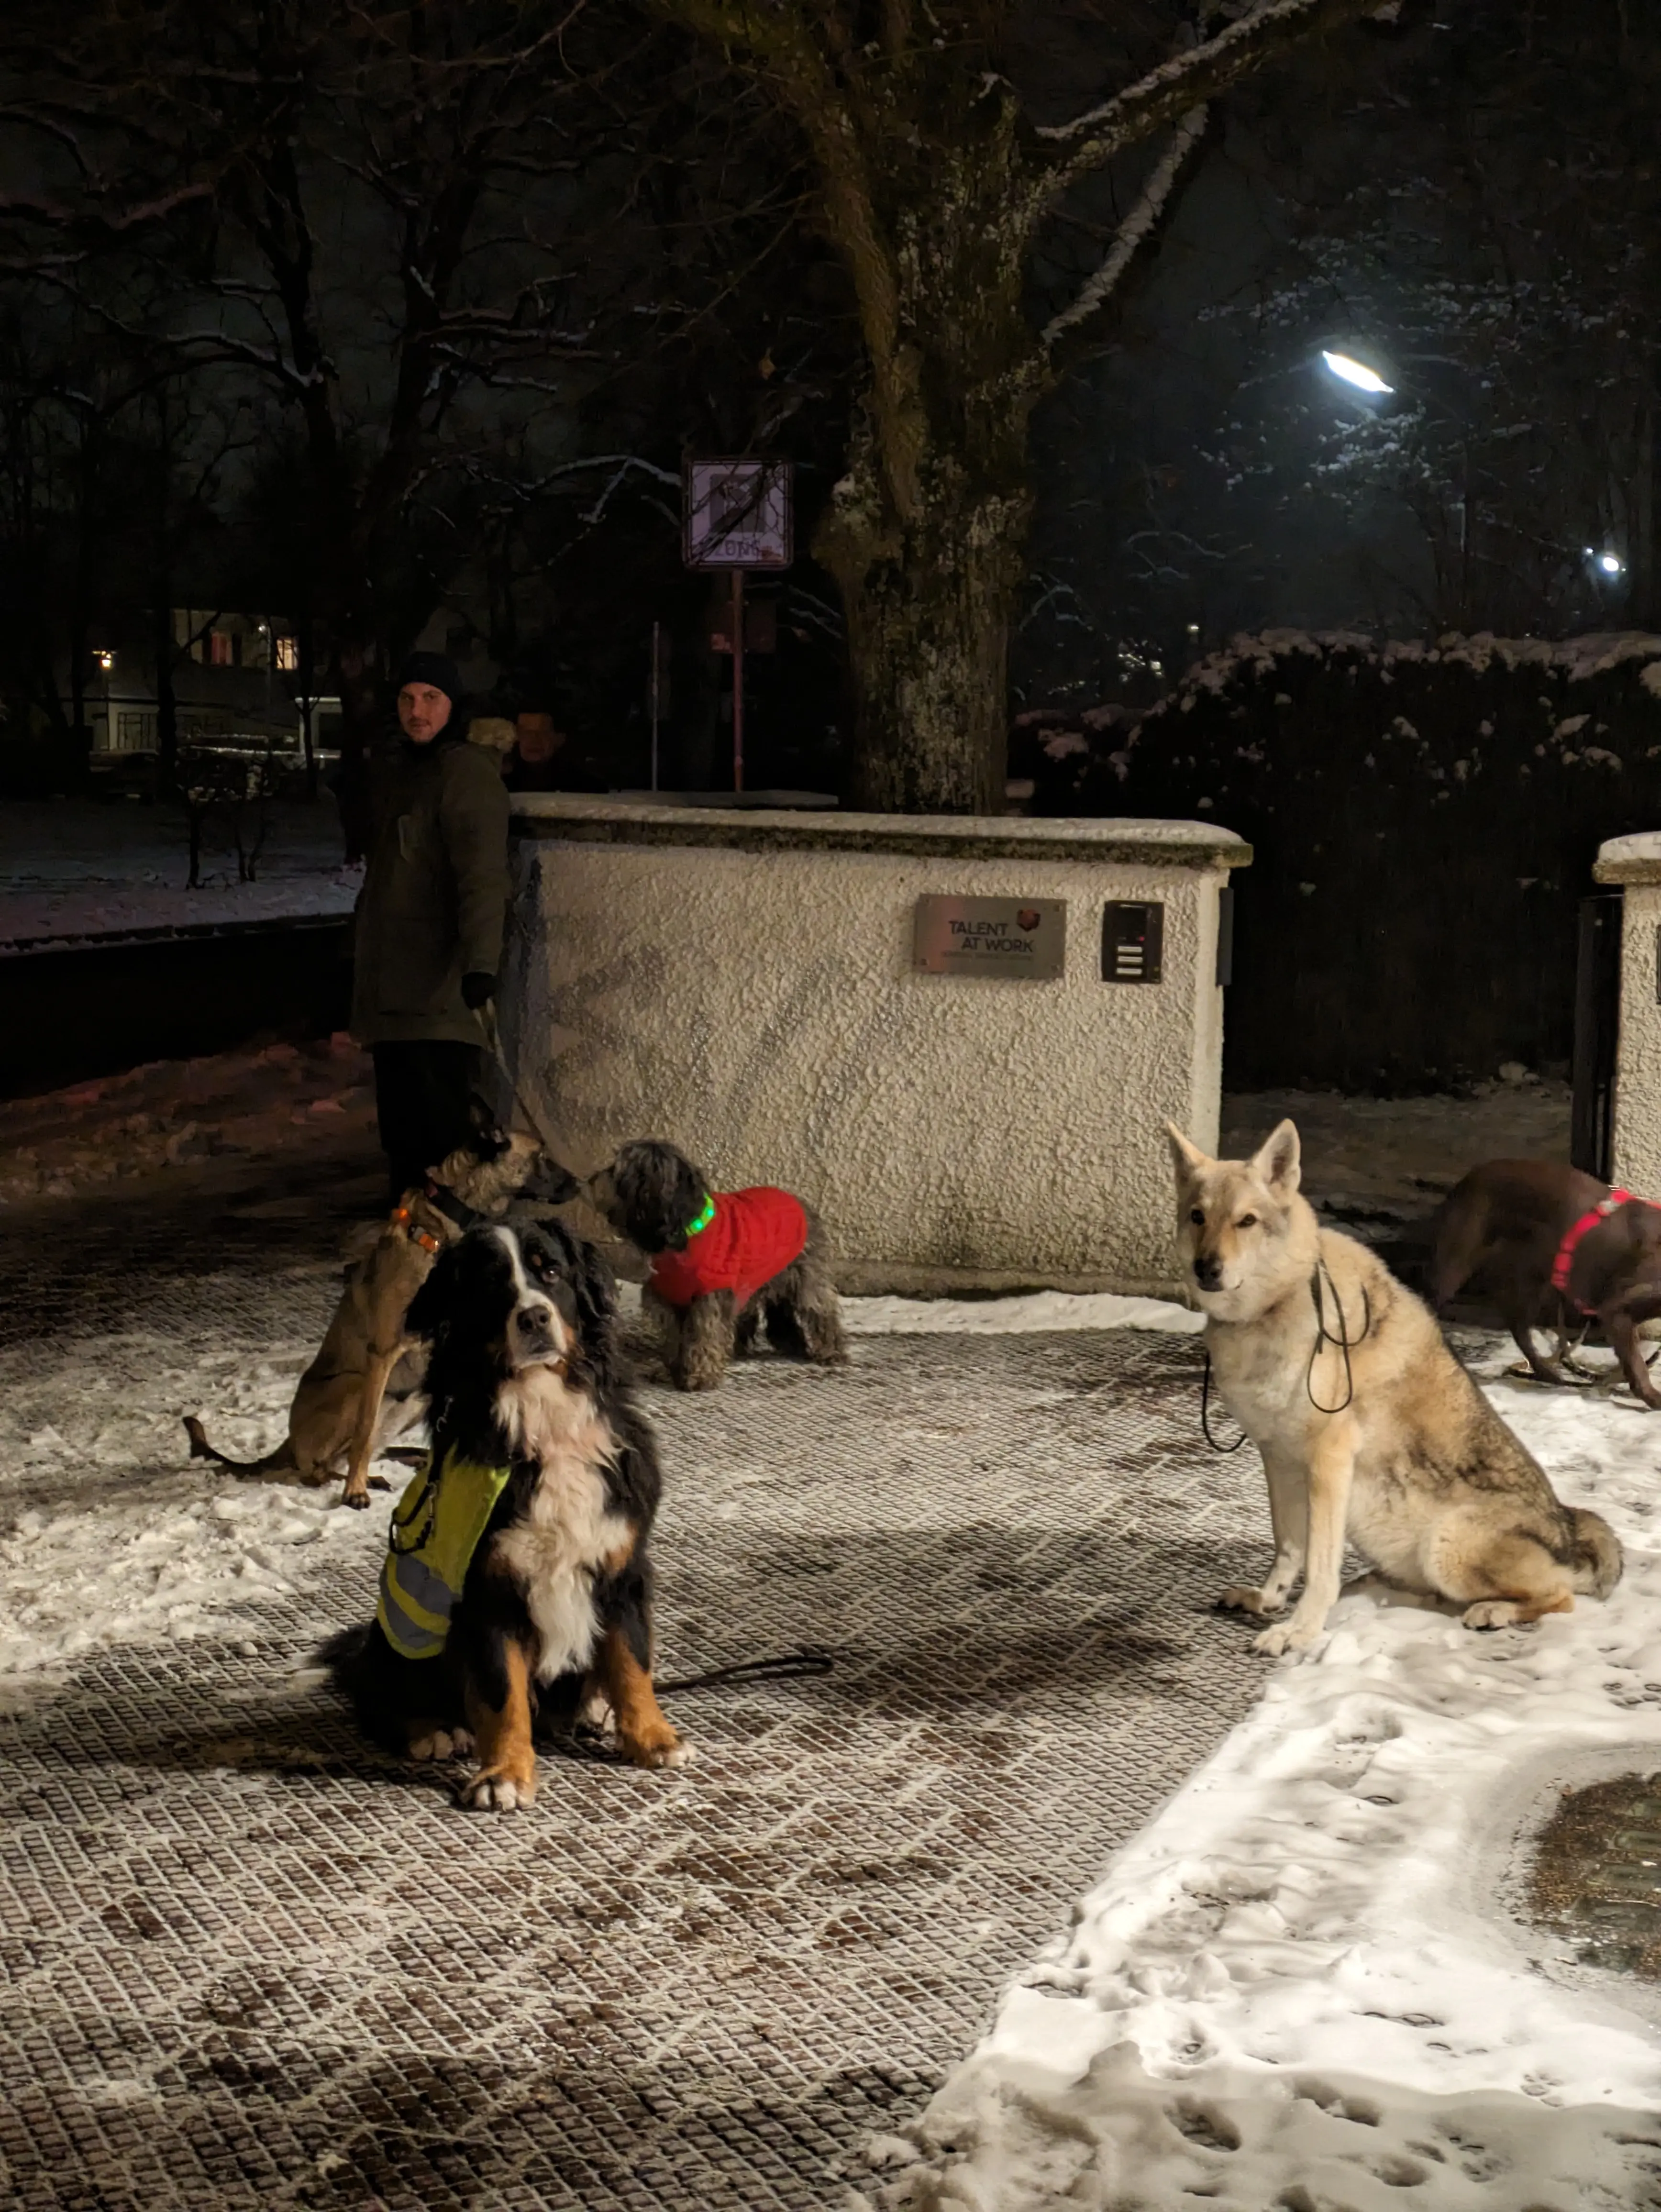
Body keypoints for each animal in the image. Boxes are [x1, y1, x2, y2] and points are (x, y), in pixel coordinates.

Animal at [189, 1101, 570, 1504]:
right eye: (541, 1155)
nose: (579, 1183)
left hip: (415, 1398)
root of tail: (289, 1443)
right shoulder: (383, 1354)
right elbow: (364, 1432)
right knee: (324, 1463)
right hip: (354, 1386)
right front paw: (354, 1491)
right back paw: (349, 1480)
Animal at [334, 1212, 686, 1814]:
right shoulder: (487, 1592)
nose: (535, 1316)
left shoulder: (622, 1568)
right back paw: (431, 1730)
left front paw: (652, 1738)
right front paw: (505, 1773)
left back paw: (596, 1708)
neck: (544, 1421)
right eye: (492, 1284)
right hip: (395, 1637)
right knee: (378, 1697)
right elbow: (503, 1695)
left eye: (552, 1271)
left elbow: (632, 1661)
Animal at [584, 1141, 845, 1380]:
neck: (685, 1232)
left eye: (616, 1170)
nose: (591, 1179)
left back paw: (830, 1351)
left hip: (807, 1281)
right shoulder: (671, 1299)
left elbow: (704, 1334)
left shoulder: (709, 1297)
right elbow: (675, 1338)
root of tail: (800, 1202)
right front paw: (673, 1370)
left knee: (821, 1312)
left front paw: (701, 1374)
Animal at [1159, 1123, 1619, 1663]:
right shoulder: (1277, 1457)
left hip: (1446, 1546)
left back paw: (1492, 1611)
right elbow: (1288, 1546)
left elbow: (1319, 1567)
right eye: (1198, 1216)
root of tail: (1568, 1527)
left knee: (1559, 1596)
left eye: (1246, 1221)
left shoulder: (1328, 1460)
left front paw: (1298, 1632)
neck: (1273, 1310)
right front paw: (1268, 1601)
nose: (1206, 1267)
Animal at [1433, 1159, 1661, 1398]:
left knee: (1518, 1327)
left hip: (1531, 1278)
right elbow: (1638, 1367)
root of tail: (1469, 1177)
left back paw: (1546, 1372)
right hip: (1455, 1266)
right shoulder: (1615, 1312)